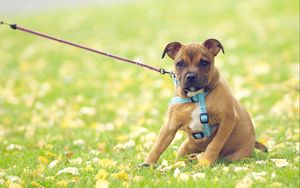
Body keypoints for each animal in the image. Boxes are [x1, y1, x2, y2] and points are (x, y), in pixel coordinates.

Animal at [143, 39, 268, 167]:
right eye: (180, 64)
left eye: (204, 62)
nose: (191, 76)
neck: (197, 96)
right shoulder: (170, 125)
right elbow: (158, 145)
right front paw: (147, 164)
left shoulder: (227, 119)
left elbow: (215, 143)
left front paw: (206, 161)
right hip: (184, 147)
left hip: (235, 156)